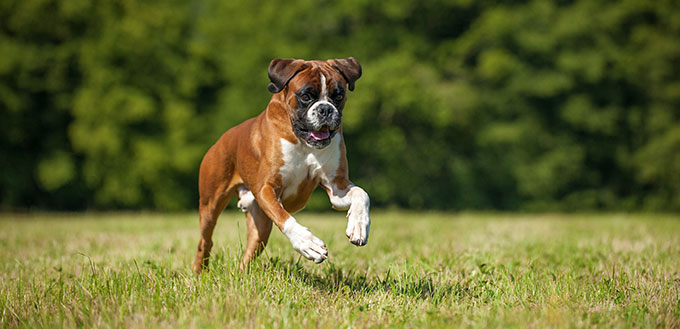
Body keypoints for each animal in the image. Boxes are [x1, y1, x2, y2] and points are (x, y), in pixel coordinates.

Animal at [191, 57, 372, 274]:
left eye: (338, 96)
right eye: (305, 96)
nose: (326, 109)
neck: (303, 142)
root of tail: (221, 140)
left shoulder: (337, 187)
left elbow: (362, 194)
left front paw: (359, 225)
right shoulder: (267, 189)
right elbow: (285, 218)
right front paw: (307, 243)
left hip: (260, 228)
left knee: (248, 254)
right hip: (210, 205)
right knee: (205, 241)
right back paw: (198, 273)